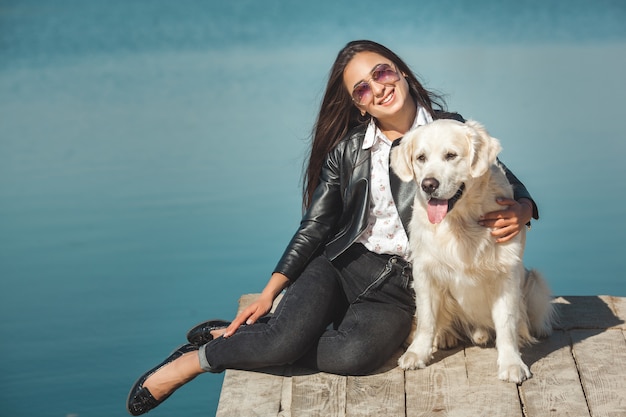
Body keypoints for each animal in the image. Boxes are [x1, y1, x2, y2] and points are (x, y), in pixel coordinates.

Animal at [388, 118, 552, 382]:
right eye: (421, 157)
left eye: (451, 155)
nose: (428, 185)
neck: (461, 220)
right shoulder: (424, 271)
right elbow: (426, 318)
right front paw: (417, 353)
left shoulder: (506, 274)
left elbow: (507, 324)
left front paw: (512, 363)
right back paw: (446, 336)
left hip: (534, 281)